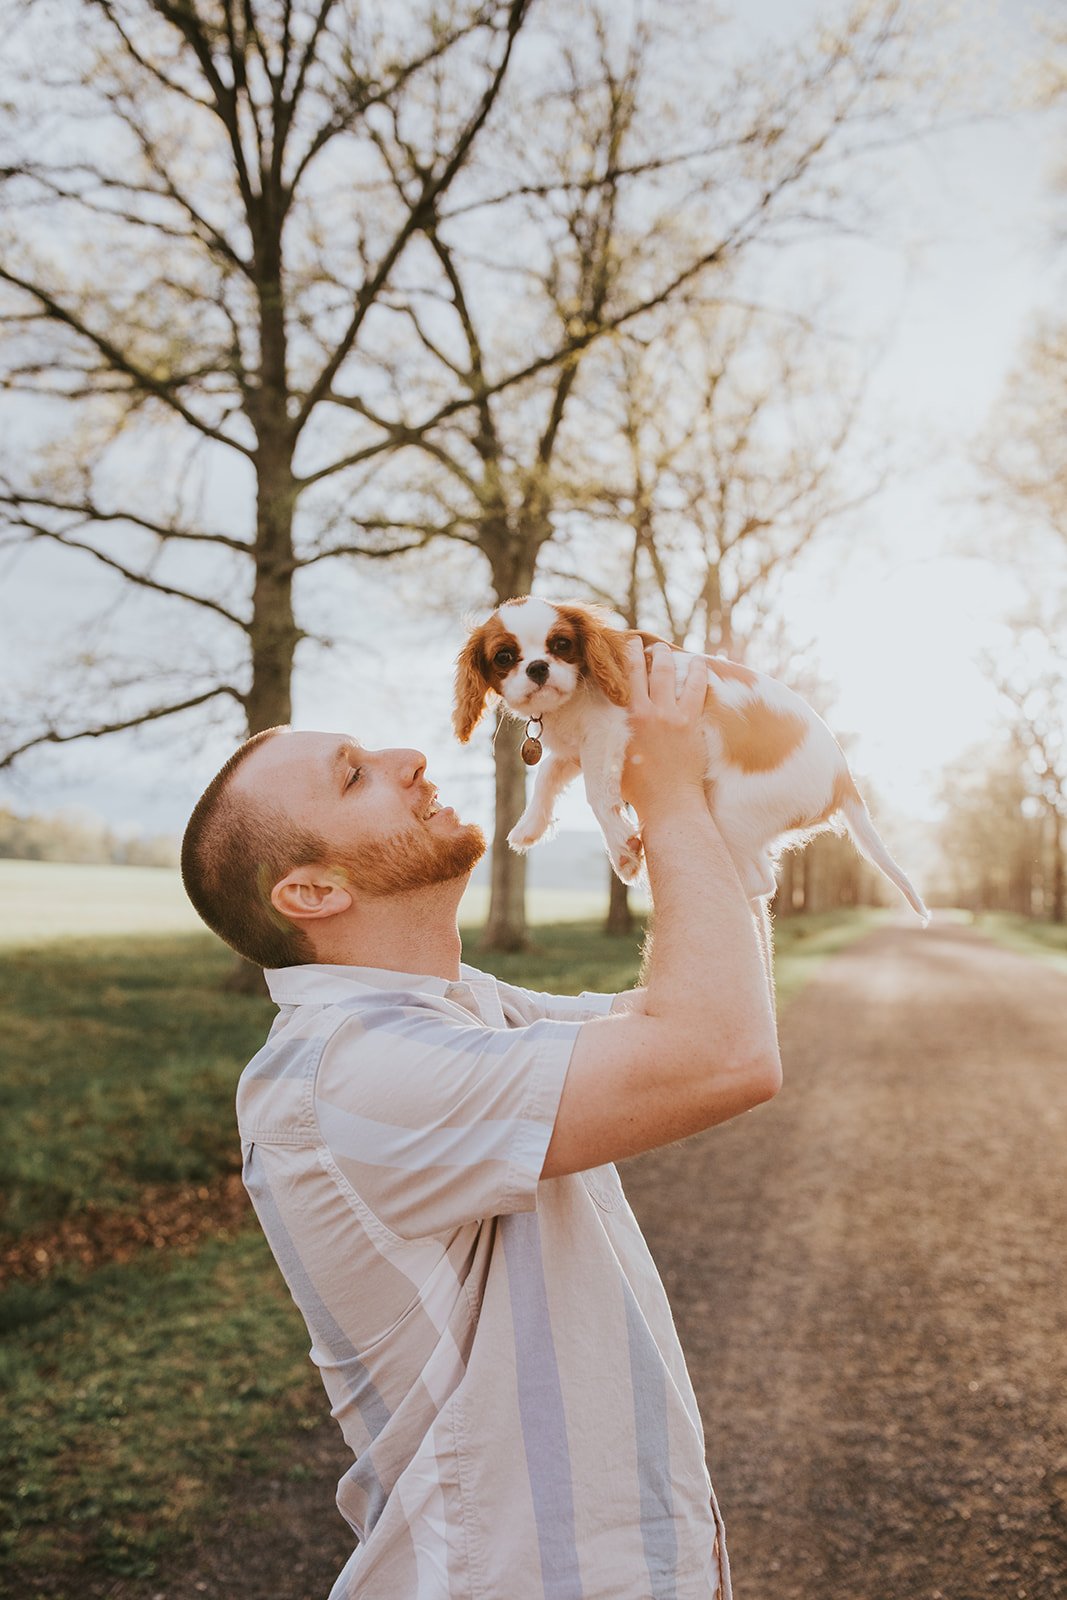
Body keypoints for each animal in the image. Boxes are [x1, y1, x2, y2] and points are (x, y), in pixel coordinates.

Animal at [454, 595, 927, 921]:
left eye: (562, 645)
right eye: (504, 657)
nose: (538, 668)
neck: (569, 701)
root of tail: (845, 778)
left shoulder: (605, 734)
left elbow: (596, 795)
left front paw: (622, 851)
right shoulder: (576, 747)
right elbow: (548, 774)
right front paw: (529, 826)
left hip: (730, 806)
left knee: (761, 880)